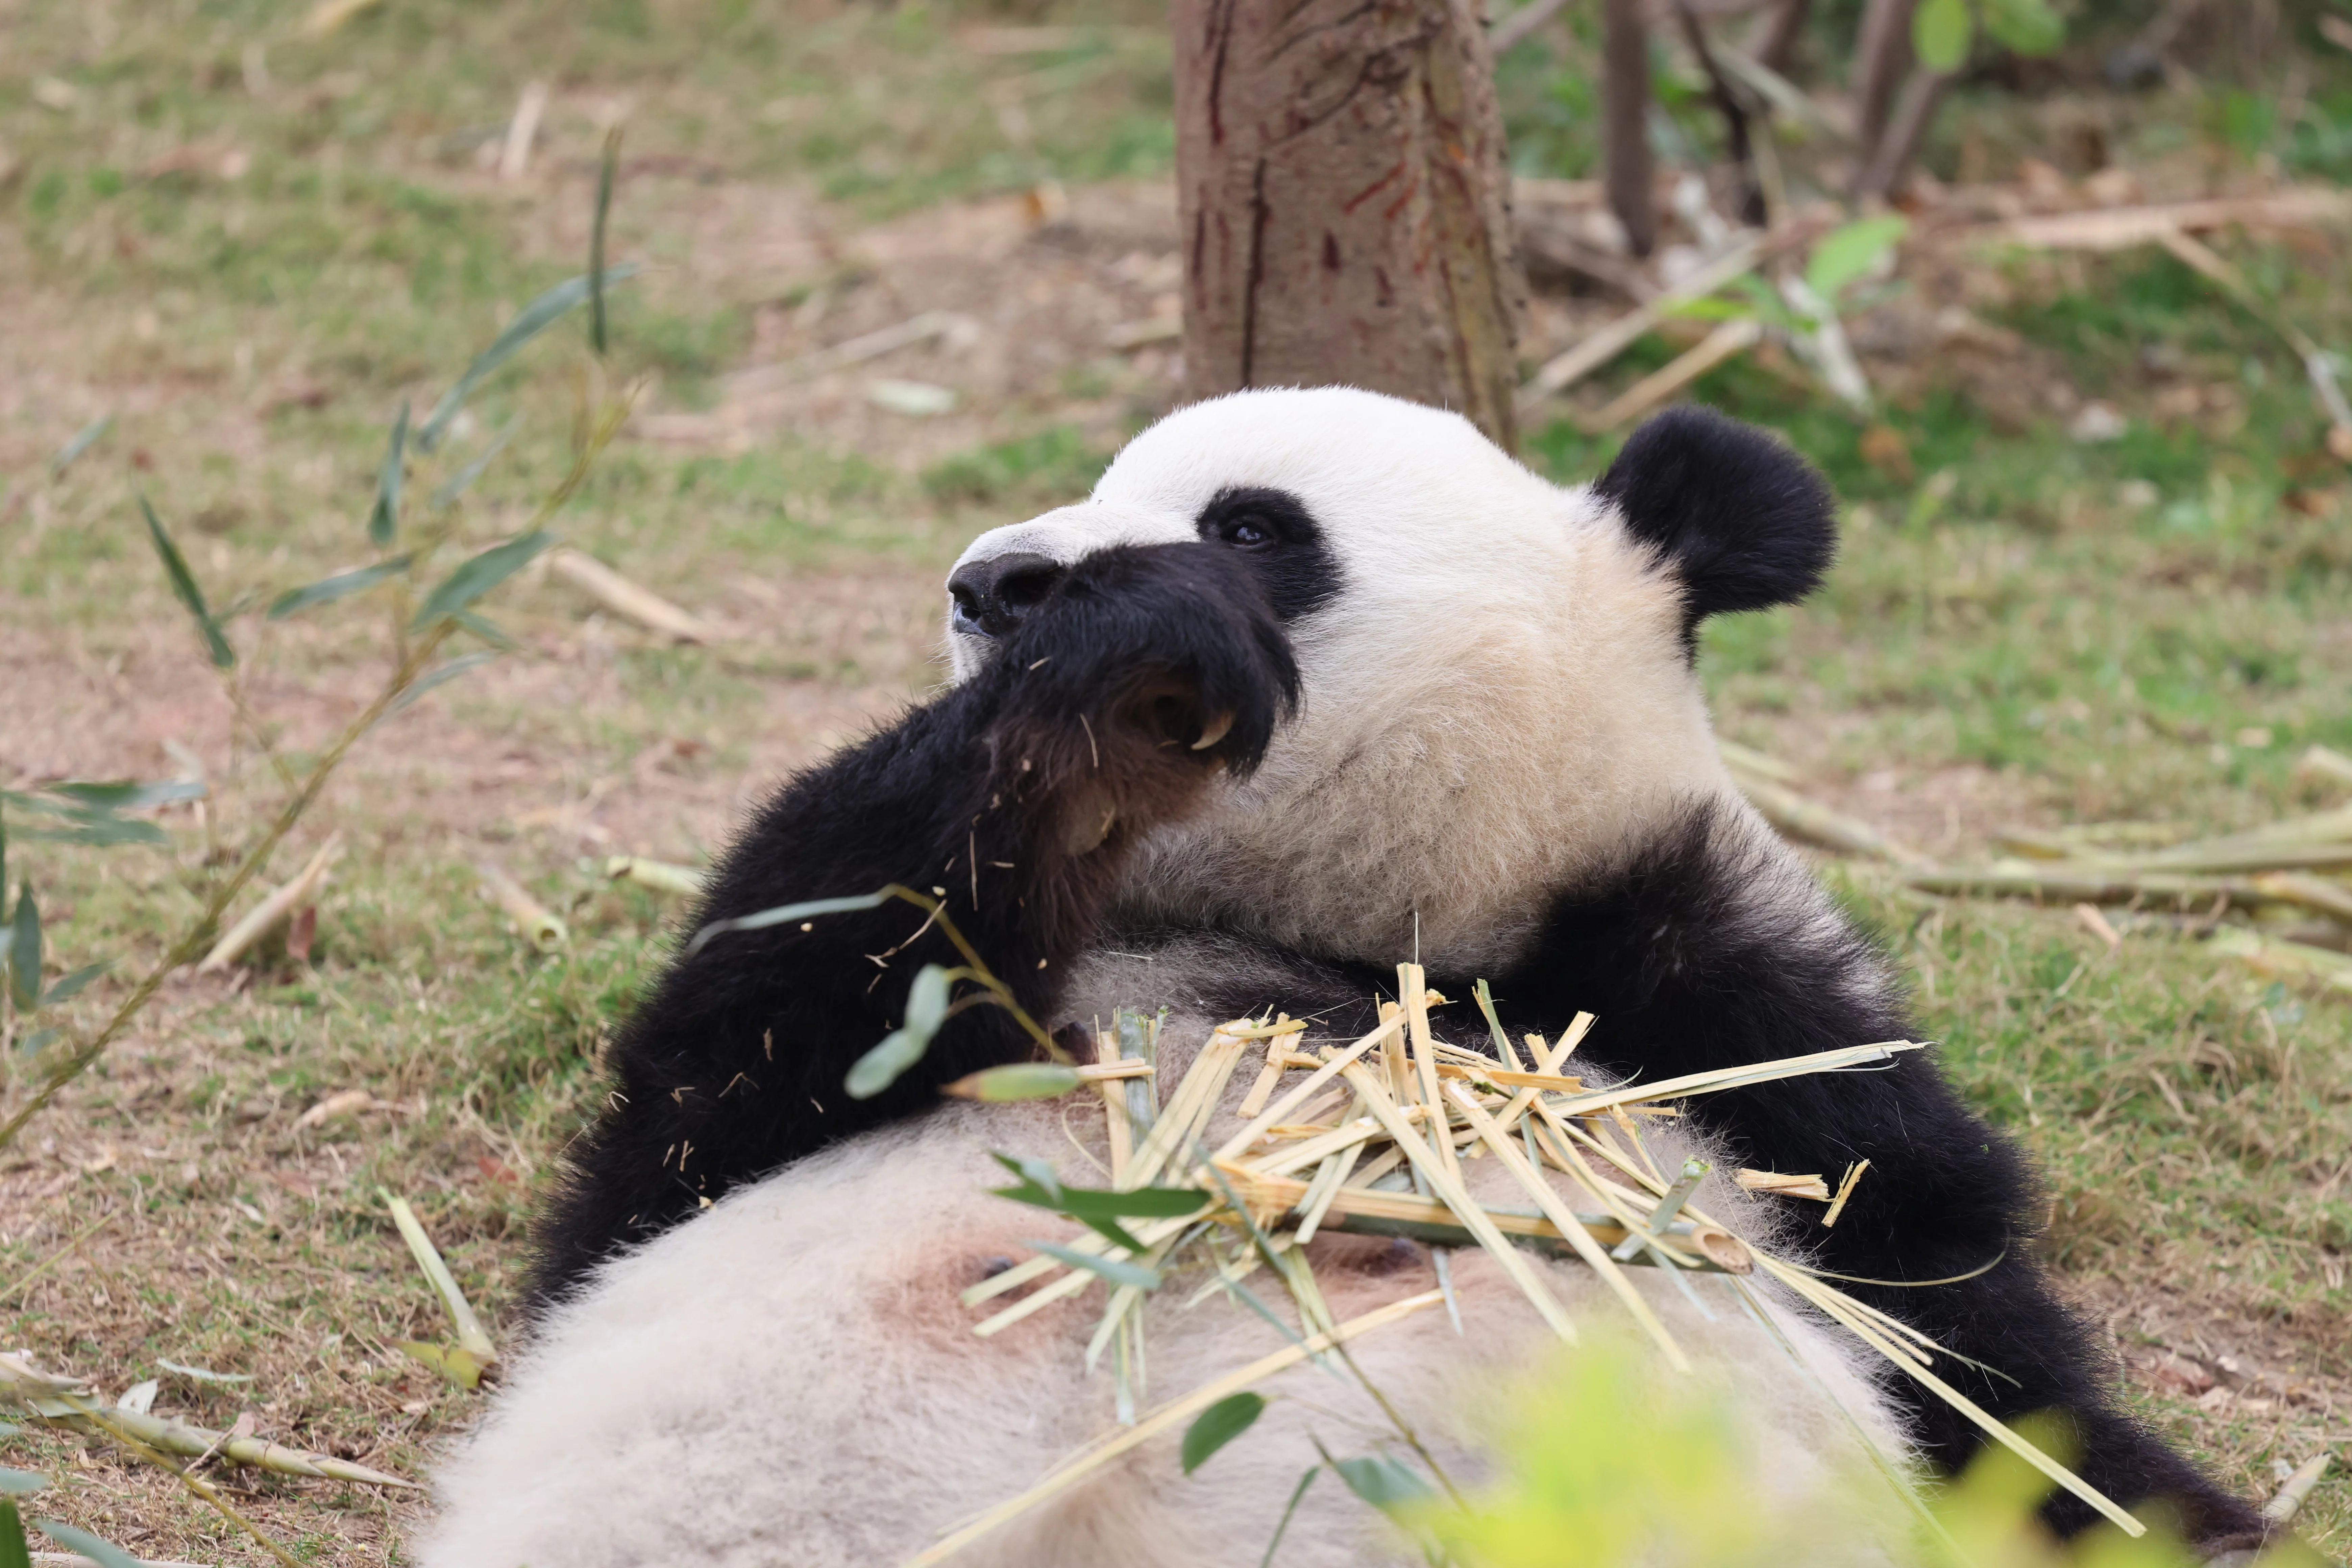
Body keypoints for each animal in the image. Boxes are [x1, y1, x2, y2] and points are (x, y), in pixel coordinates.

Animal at [419, 388, 2266, 1566]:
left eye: (1253, 519)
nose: (995, 581)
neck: (1361, 942)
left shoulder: (1727, 1017)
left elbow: (1969, 1334)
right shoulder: (798, 1086)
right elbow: (726, 1066)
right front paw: (1102, 683)